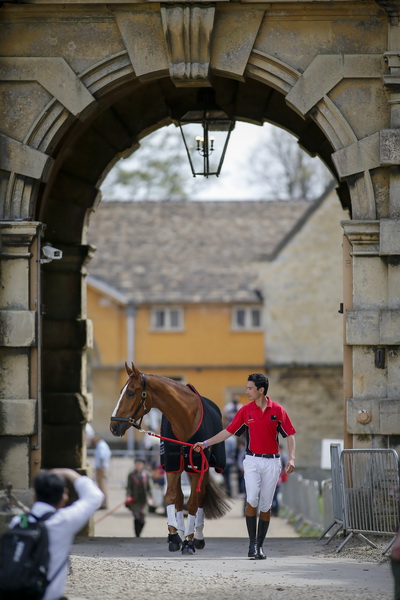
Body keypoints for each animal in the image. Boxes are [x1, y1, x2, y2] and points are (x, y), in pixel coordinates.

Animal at [109, 360, 230, 552]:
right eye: (121, 391)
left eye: (130, 392)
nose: (114, 426)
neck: (185, 418)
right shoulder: (172, 465)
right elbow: (172, 497)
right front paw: (174, 536)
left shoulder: (197, 467)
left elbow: (193, 502)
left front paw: (189, 541)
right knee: (181, 498)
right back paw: (181, 532)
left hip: (201, 468)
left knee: (200, 498)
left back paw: (197, 536)